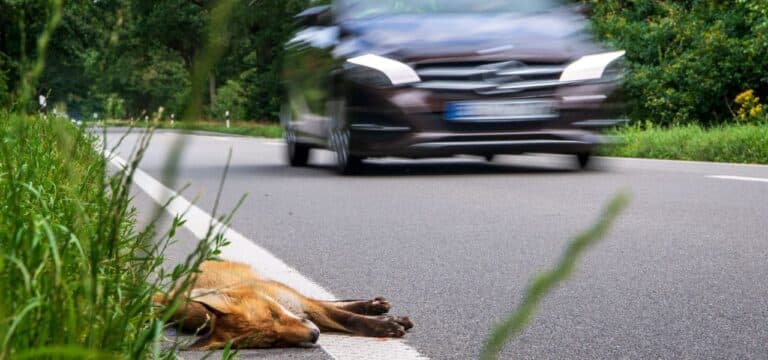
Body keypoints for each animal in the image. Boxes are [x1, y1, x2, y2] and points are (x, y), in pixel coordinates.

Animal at [152, 260, 412, 350]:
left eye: (274, 314)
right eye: (273, 342)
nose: (314, 335)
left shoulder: (303, 306)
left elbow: (349, 319)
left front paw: (385, 324)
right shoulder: (309, 313)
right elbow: (347, 319)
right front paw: (386, 324)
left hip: (289, 289)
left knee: (331, 301)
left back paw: (376, 306)